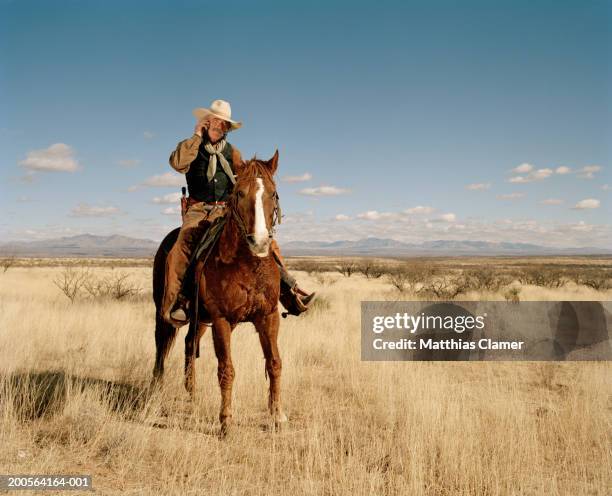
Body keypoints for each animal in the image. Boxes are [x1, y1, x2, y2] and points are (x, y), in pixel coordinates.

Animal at [152, 151, 288, 434]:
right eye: (239, 193)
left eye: (273, 194)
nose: (259, 242)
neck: (248, 265)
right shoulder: (222, 320)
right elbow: (227, 369)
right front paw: (226, 421)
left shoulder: (268, 316)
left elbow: (274, 363)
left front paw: (277, 416)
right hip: (163, 311)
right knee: (161, 347)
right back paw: (156, 392)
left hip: (200, 319)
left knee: (189, 344)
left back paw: (191, 392)